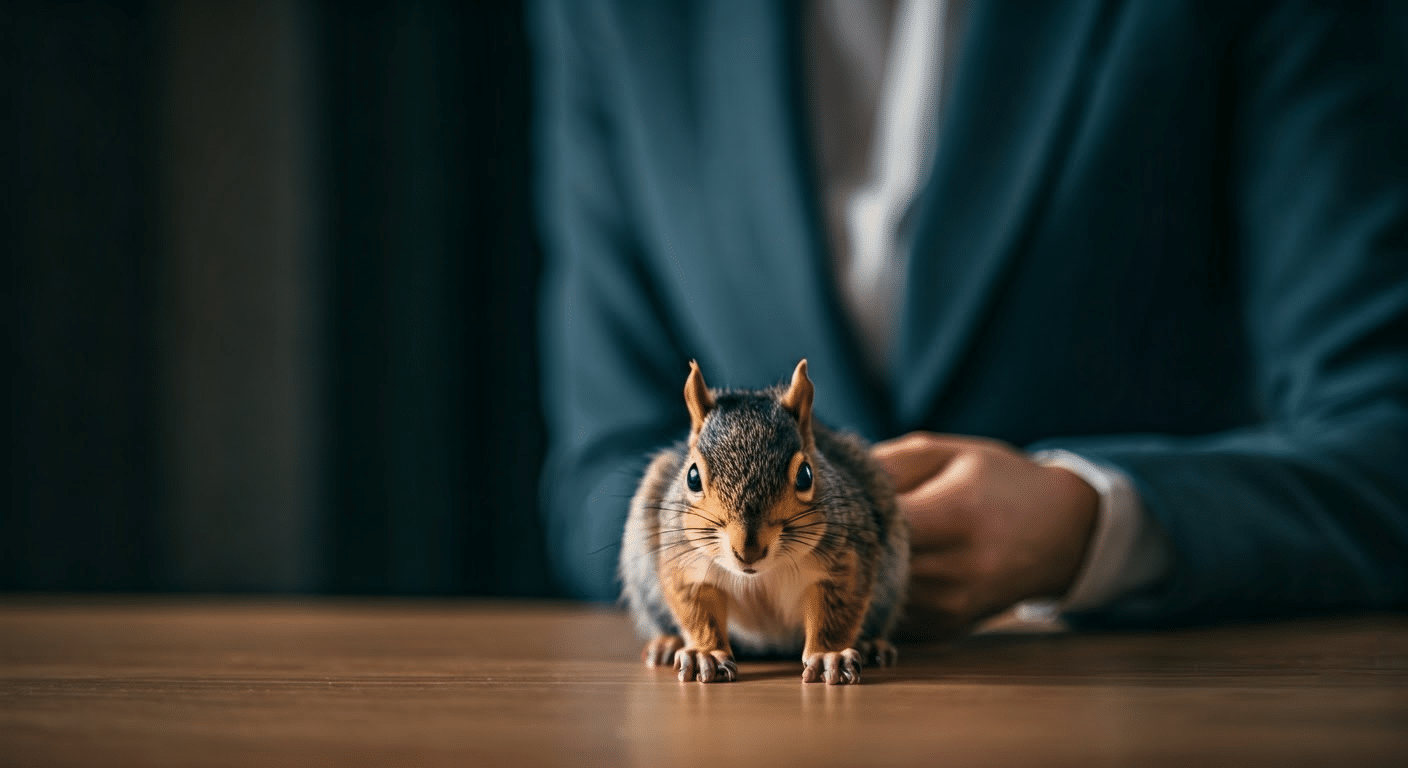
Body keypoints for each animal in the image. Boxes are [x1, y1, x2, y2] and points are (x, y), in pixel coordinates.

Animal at [620, 359, 909, 685]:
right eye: (692, 476)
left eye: (806, 475)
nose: (749, 551)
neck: (758, 578)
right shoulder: (685, 564)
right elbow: (698, 612)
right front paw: (705, 653)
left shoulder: (847, 558)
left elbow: (835, 614)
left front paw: (828, 655)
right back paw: (668, 644)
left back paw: (871, 645)